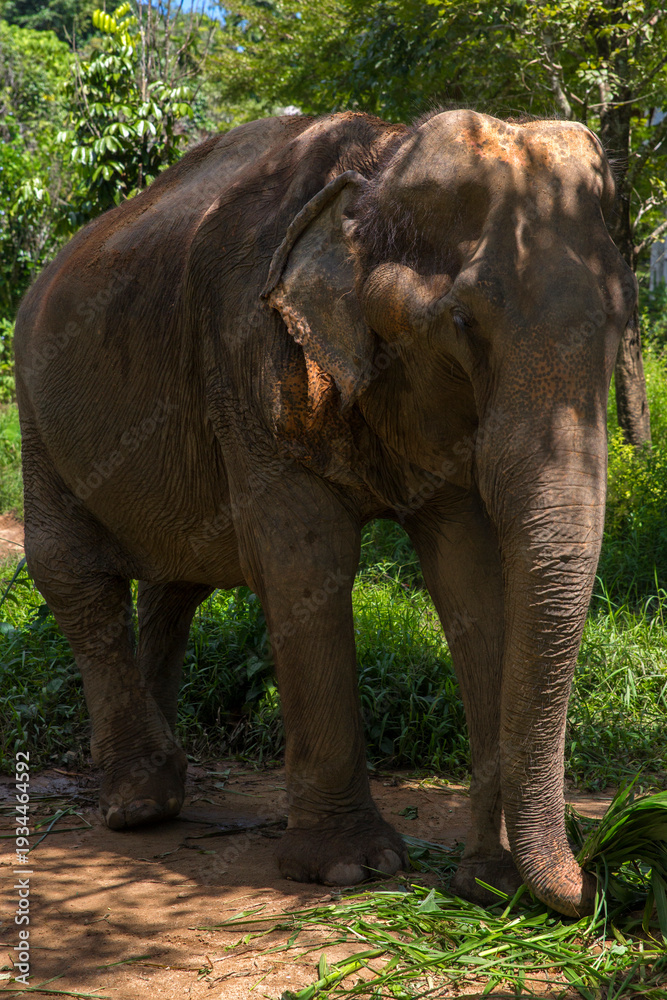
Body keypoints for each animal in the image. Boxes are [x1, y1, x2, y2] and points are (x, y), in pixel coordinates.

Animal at [14, 108, 635, 918]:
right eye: (462, 322)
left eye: (623, 322)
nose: (593, 882)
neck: (377, 162)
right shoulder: (246, 356)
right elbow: (306, 563)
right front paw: (350, 868)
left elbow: (468, 576)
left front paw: (489, 880)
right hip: (34, 410)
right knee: (74, 575)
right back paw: (140, 805)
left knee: (174, 585)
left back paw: (164, 786)